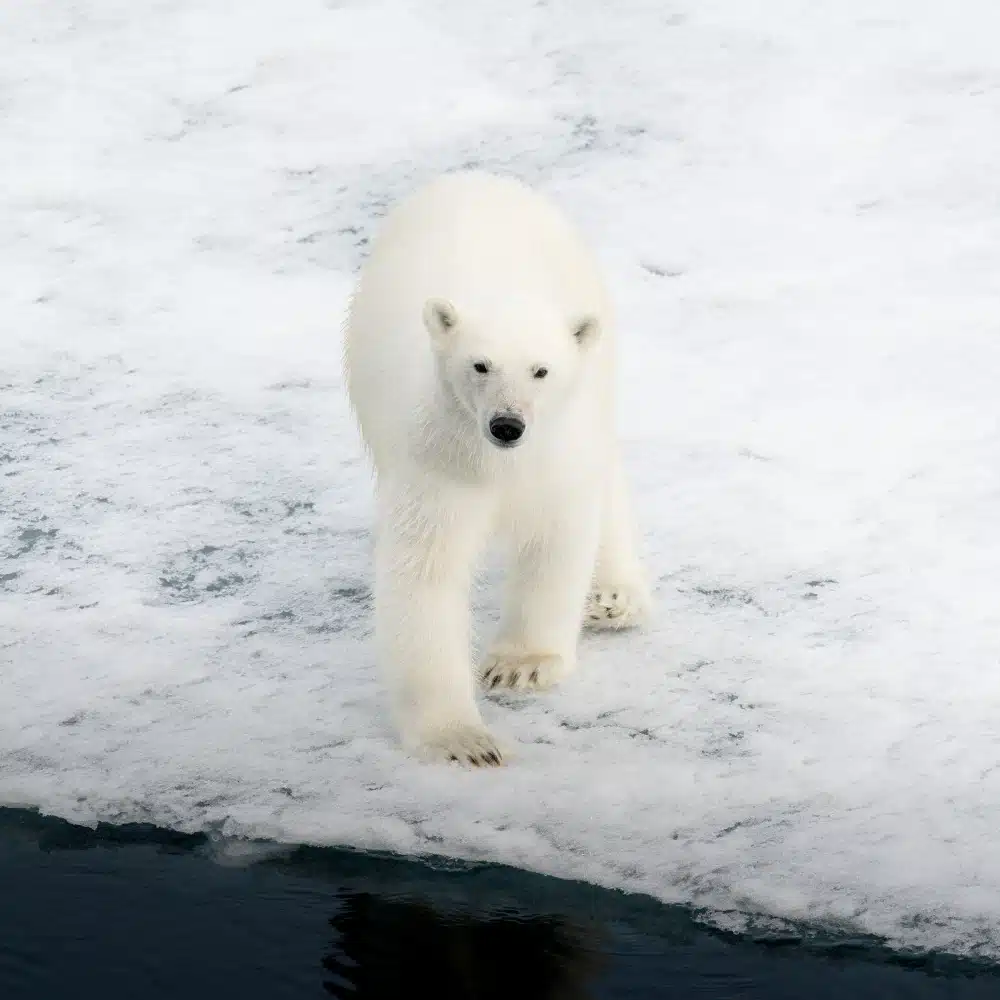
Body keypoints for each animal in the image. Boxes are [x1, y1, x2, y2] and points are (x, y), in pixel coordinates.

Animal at [344, 172, 652, 764]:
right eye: (480, 365)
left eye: (541, 370)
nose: (508, 425)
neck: (497, 465)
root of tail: (475, 177)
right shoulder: (438, 463)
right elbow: (428, 571)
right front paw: (462, 740)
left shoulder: (554, 458)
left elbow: (555, 541)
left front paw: (520, 666)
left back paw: (613, 598)